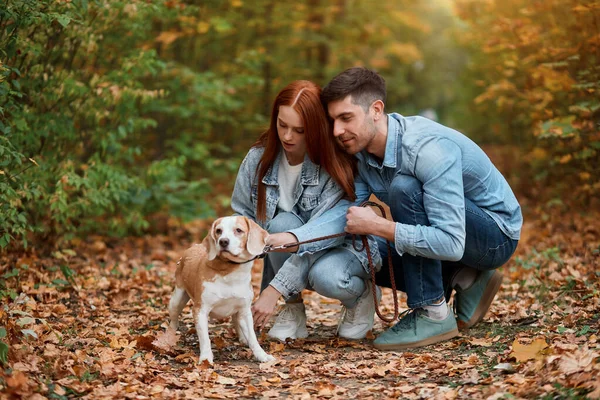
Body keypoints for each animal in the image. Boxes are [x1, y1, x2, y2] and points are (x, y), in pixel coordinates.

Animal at [166, 217, 274, 364]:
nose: (223, 241)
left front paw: (262, 355)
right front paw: (206, 359)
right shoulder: (200, 311)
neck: (230, 273)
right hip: (176, 300)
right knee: (173, 321)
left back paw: (243, 338)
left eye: (238, 230)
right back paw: (170, 336)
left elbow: (253, 338)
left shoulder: (245, 311)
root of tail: (195, 245)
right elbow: (205, 339)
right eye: (218, 231)